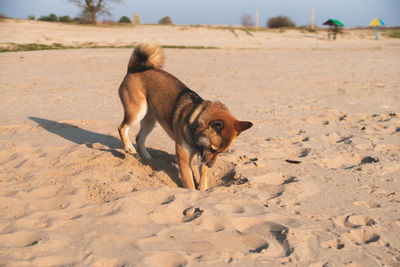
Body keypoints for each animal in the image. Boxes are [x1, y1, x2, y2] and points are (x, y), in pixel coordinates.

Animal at [117, 43, 252, 192]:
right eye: (213, 149)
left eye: (222, 152)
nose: (211, 165)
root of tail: (133, 70)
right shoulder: (184, 159)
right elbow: (189, 184)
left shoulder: (202, 155)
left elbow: (203, 176)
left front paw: (203, 189)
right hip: (138, 111)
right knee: (122, 127)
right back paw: (129, 147)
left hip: (150, 120)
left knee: (139, 138)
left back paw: (147, 157)